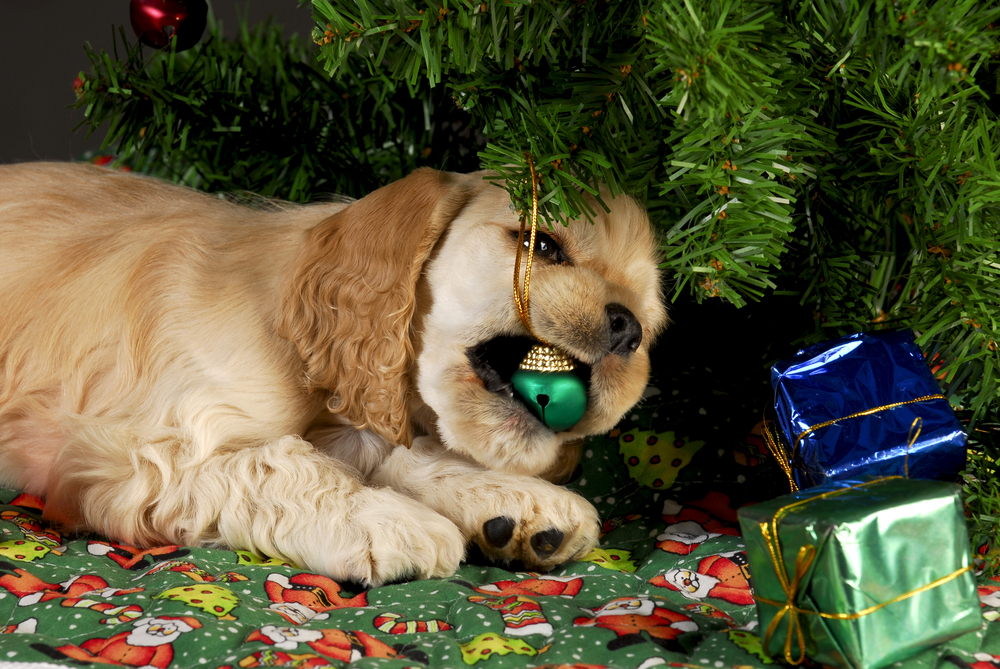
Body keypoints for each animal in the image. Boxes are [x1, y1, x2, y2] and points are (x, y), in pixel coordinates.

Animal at [3, 163, 668, 584]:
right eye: (543, 245)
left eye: (651, 320)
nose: (626, 328)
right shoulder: (128, 455)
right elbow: (279, 463)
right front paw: (386, 520)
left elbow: (390, 450)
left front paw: (516, 502)